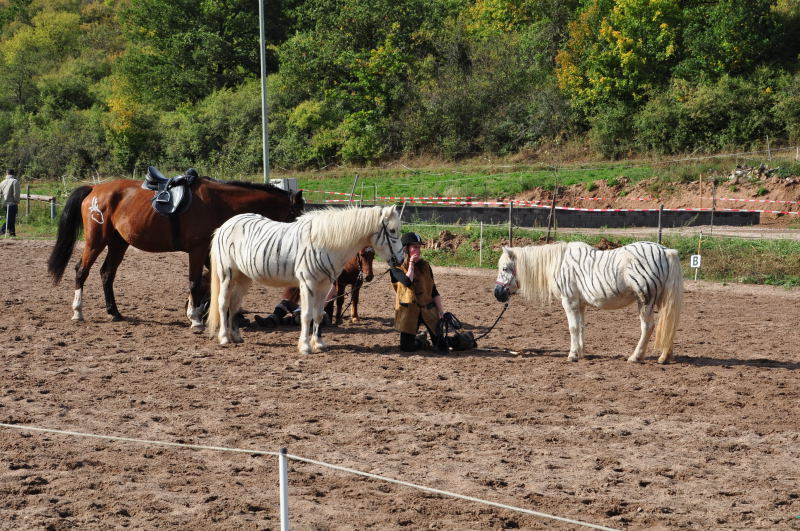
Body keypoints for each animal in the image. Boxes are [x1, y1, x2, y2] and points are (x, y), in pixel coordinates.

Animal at [47, 175, 304, 328]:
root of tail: (95, 189)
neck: (219, 202)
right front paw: (195, 318)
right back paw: (78, 311)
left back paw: (114, 312)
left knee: (107, 274)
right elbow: (194, 281)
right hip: (96, 241)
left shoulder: (209, 252)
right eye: (296, 214)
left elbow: (211, 280)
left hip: (119, 243)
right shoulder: (198, 249)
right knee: (82, 270)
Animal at [208, 206, 404, 356]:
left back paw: (236, 337)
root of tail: (225, 225)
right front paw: (304, 346)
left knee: (234, 305)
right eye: (392, 231)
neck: (326, 244)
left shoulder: (324, 286)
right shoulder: (308, 283)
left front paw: (319, 343)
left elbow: (318, 315)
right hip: (227, 275)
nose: (401, 259)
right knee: (223, 303)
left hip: (244, 277)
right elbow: (306, 315)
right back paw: (224, 337)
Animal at [490, 242, 684, 364]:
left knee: (648, 327)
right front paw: (581, 352)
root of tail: (666, 251)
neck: (560, 264)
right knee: (669, 325)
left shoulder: (569, 302)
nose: (497, 294)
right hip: (662, 300)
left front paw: (572, 355)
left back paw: (635, 357)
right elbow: (581, 327)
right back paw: (665, 357)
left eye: (505, 268)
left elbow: (573, 328)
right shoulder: (580, 304)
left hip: (645, 300)